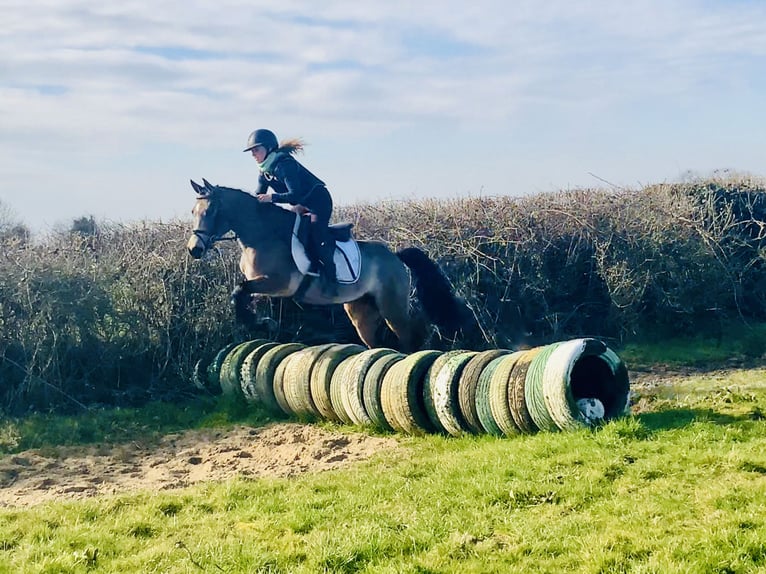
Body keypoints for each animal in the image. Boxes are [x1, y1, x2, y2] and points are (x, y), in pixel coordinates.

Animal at [188, 180, 474, 354]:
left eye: (210, 211)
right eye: (193, 211)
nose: (194, 249)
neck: (261, 235)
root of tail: (394, 254)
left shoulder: (278, 282)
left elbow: (239, 291)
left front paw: (259, 322)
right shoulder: (264, 286)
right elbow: (241, 294)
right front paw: (261, 323)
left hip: (391, 305)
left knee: (410, 333)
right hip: (360, 310)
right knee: (375, 341)